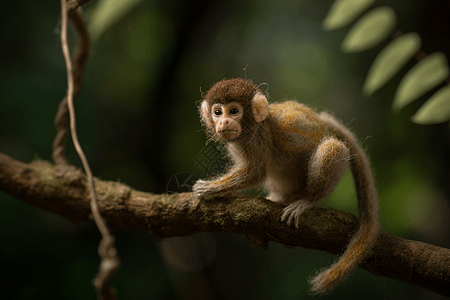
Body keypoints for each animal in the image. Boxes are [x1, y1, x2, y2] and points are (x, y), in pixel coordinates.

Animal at [192, 77, 382, 292]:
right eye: (217, 112)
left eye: (233, 111)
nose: (223, 121)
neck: (258, 124)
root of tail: (326, 123)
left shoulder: (258, 138)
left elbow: (255, 173)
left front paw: (210, 189)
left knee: (332, 147)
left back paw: (308, 200)